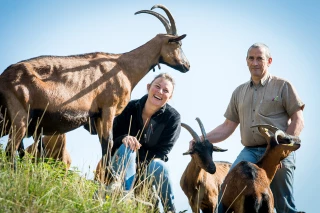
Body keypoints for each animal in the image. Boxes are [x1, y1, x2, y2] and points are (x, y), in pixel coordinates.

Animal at [0, 3, 189, 171]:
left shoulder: (96, 116)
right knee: (10, 151)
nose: (187, 65)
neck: (123, 67)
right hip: (20, 116)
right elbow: (108, 143)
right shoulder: (108, 108)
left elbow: (104, 145)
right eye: (178, 44)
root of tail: (4, 76)